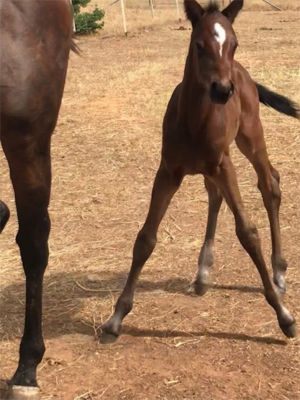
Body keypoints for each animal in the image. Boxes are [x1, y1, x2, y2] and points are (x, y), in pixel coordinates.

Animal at [101, 0, 298, 344]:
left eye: (234, 44)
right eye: (199, 45)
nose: (222, 90)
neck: (194, 122)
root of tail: (242, 73)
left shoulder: (224, 165)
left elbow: (248, 233)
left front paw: (283, 316)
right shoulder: (168, 172)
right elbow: (145, 238)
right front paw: (116, 317)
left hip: (249, 138)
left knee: (269, 183)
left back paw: (279, 273)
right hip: (213, 165)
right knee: (216, 196)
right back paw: (203, 273)